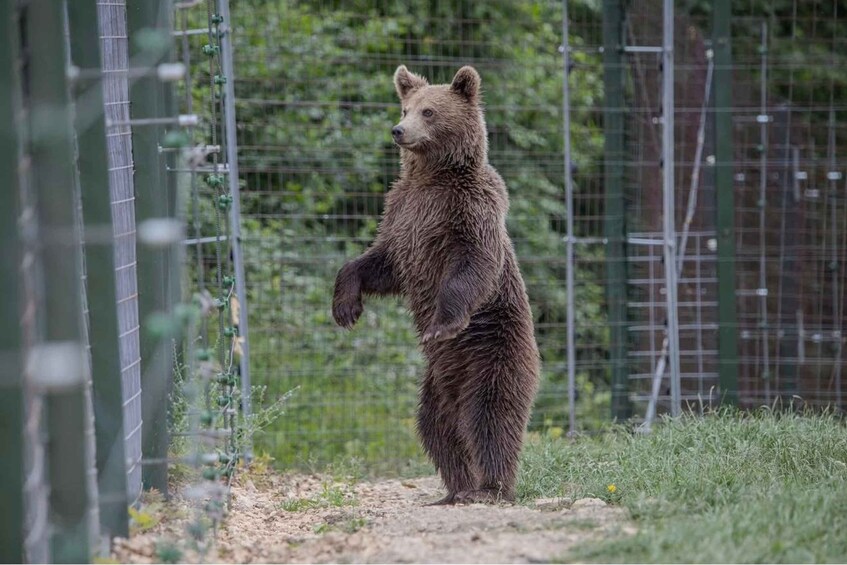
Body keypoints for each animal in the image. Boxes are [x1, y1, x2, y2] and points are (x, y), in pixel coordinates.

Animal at [332, 65, 540, 504]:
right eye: (405, 107)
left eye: (429, 111)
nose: (398, 130)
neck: (433, 176)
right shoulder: (402, 215)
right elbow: (380, 264)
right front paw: (345, 306)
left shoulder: (465, 211)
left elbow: (472, 265)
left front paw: (441, 325)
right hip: (435, 384)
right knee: (436, 428)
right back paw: (455, 488)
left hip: (492, 354)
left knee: (491, 417)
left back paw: (490, 487)